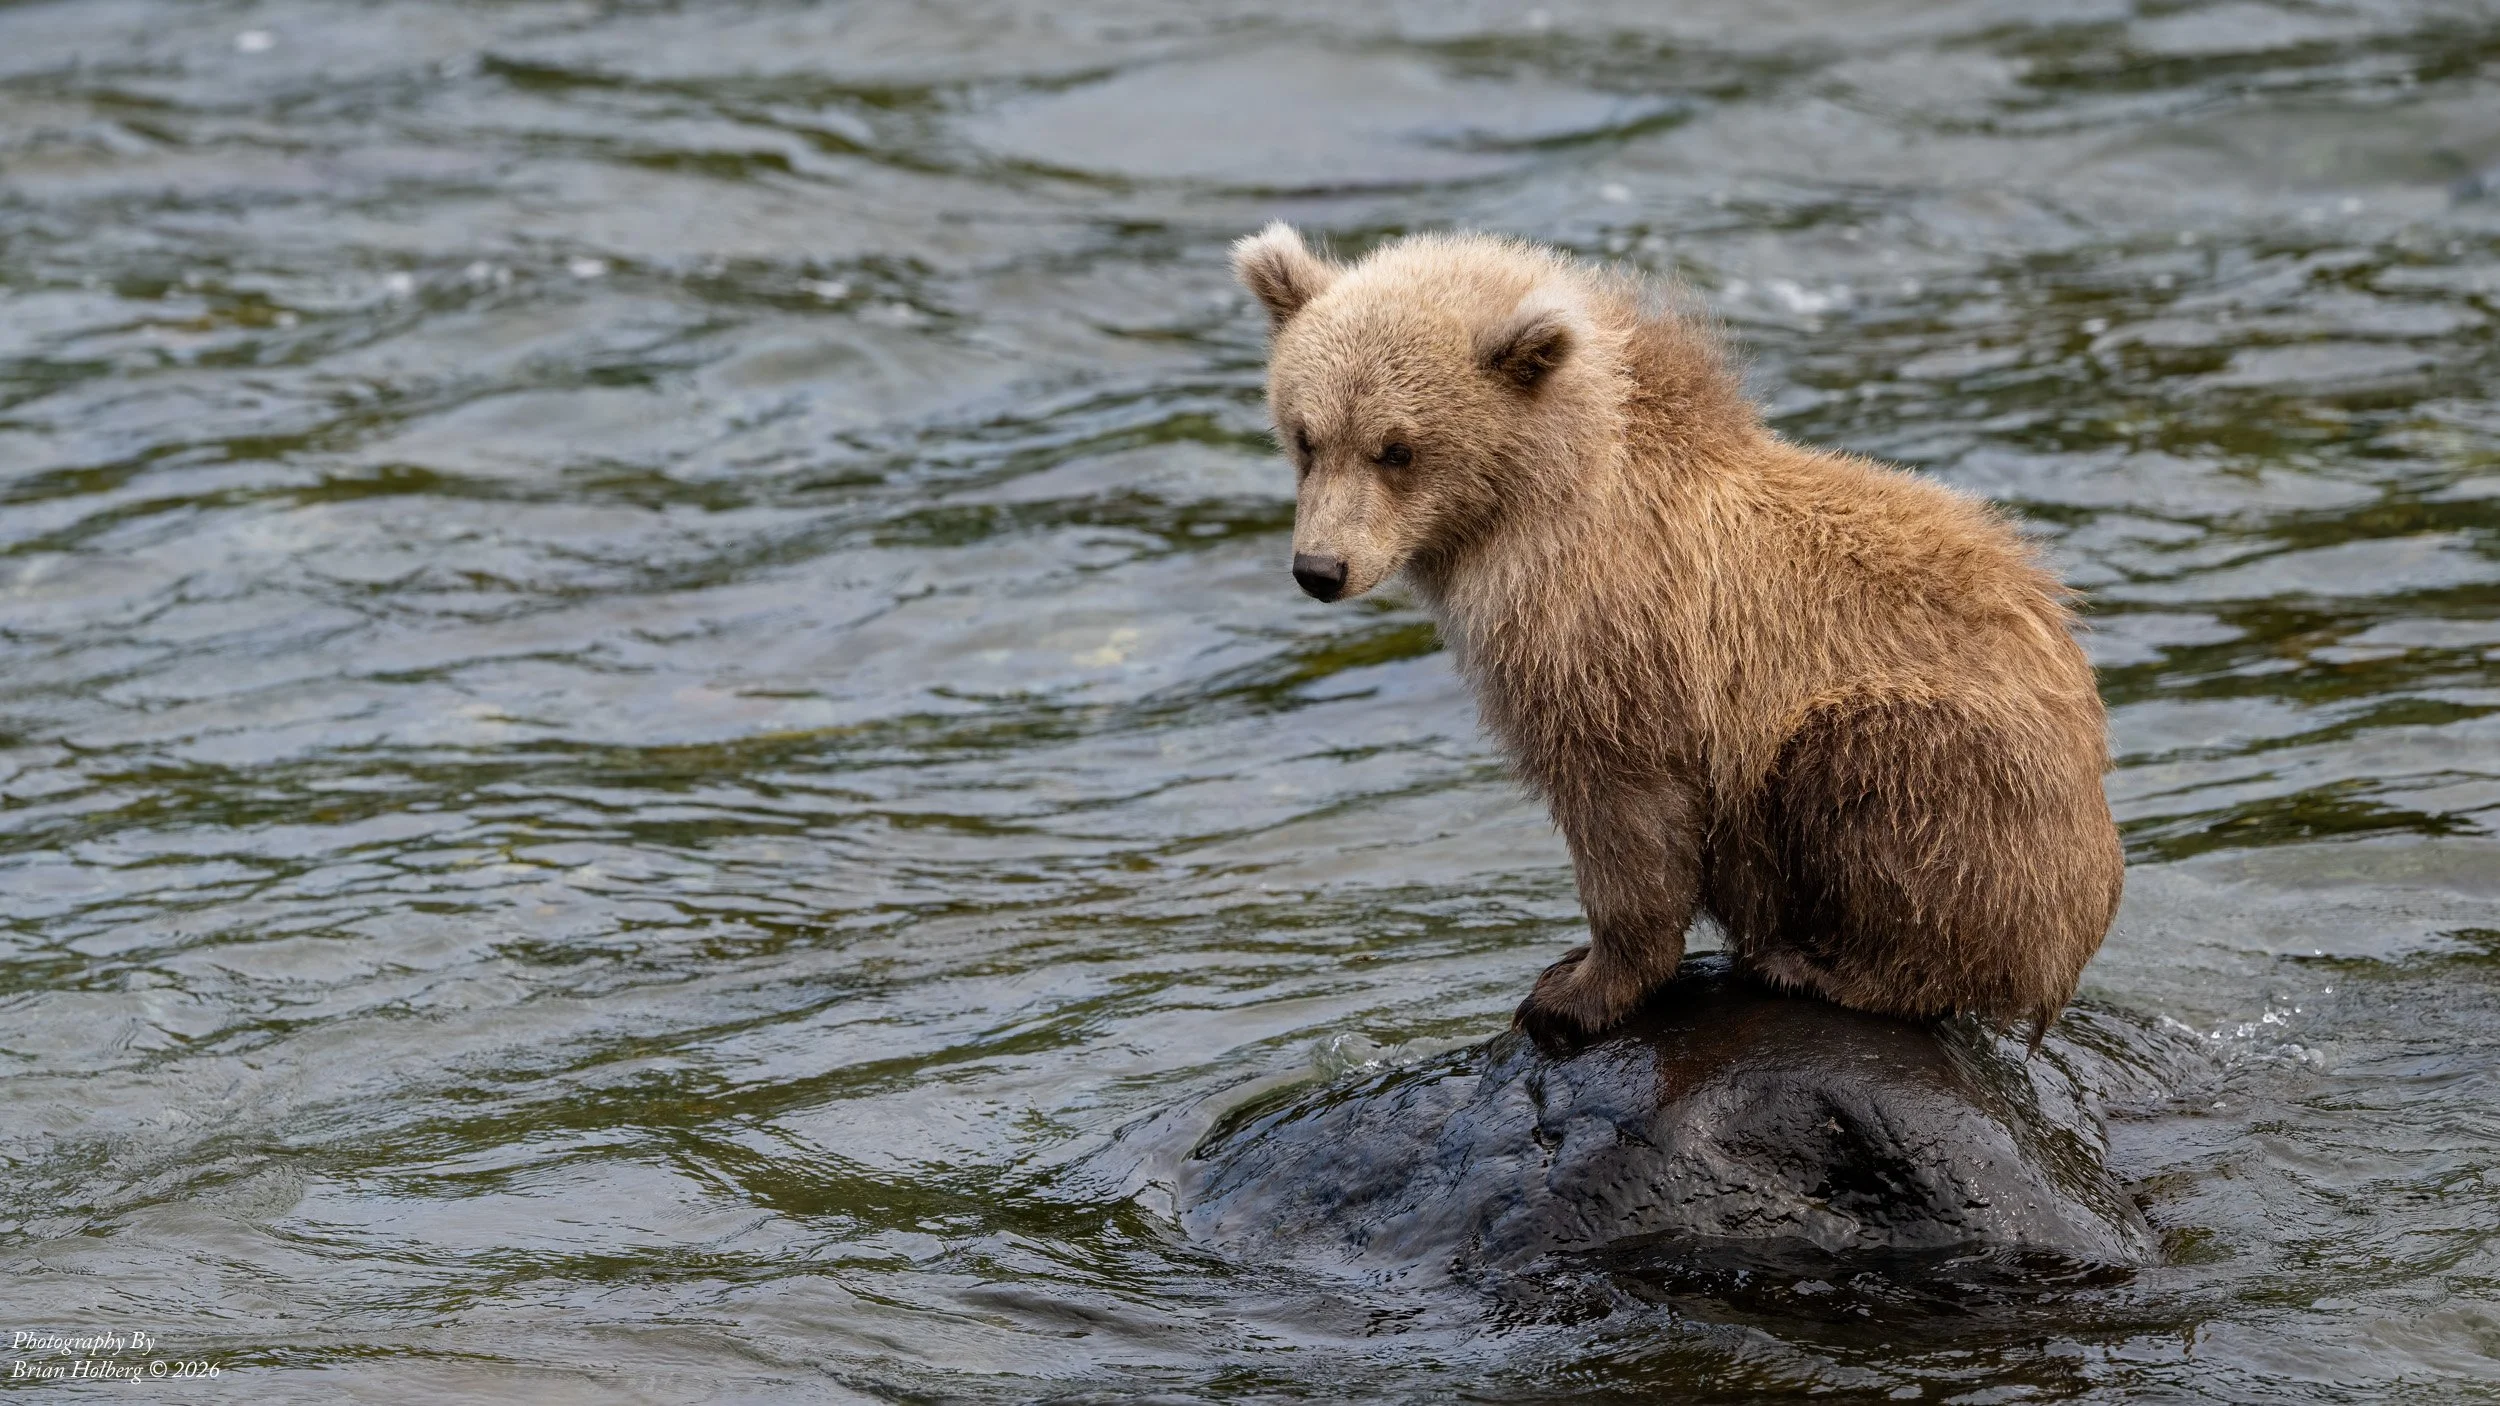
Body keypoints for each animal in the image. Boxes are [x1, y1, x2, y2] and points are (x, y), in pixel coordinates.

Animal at [1231, 223, 2124, 1049]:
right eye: (1305, 434)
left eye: (1398, 448)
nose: (1320, 567)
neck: (1533, 508)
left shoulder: (1611, 641)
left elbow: (1625, 816)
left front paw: (1572, 993)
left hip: (1968, 777)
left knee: (1871, 776)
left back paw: (1824, 967)